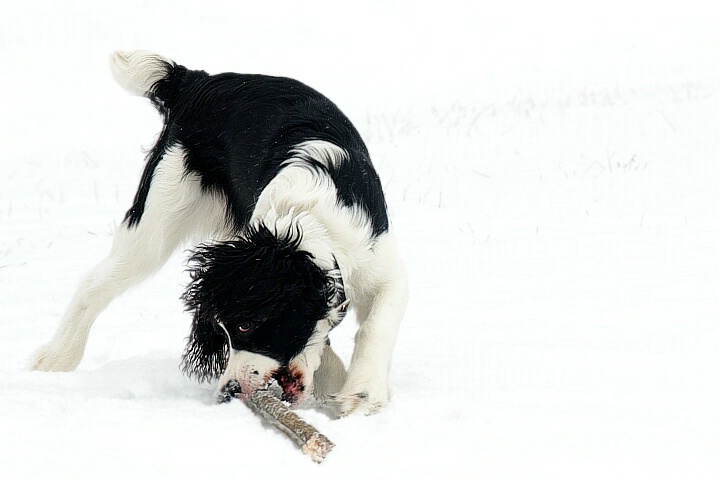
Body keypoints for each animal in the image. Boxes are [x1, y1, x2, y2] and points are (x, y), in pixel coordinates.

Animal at [31, 49, 408, 416]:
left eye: (245, 326)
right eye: (225, 329)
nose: (231, 390)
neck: (305, 219)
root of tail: (196, 81)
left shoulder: (377, 259)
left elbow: (375, 322)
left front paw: (361, 393)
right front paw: (346, 386)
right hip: (159, 213)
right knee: (95, 283)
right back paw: (55, 359)